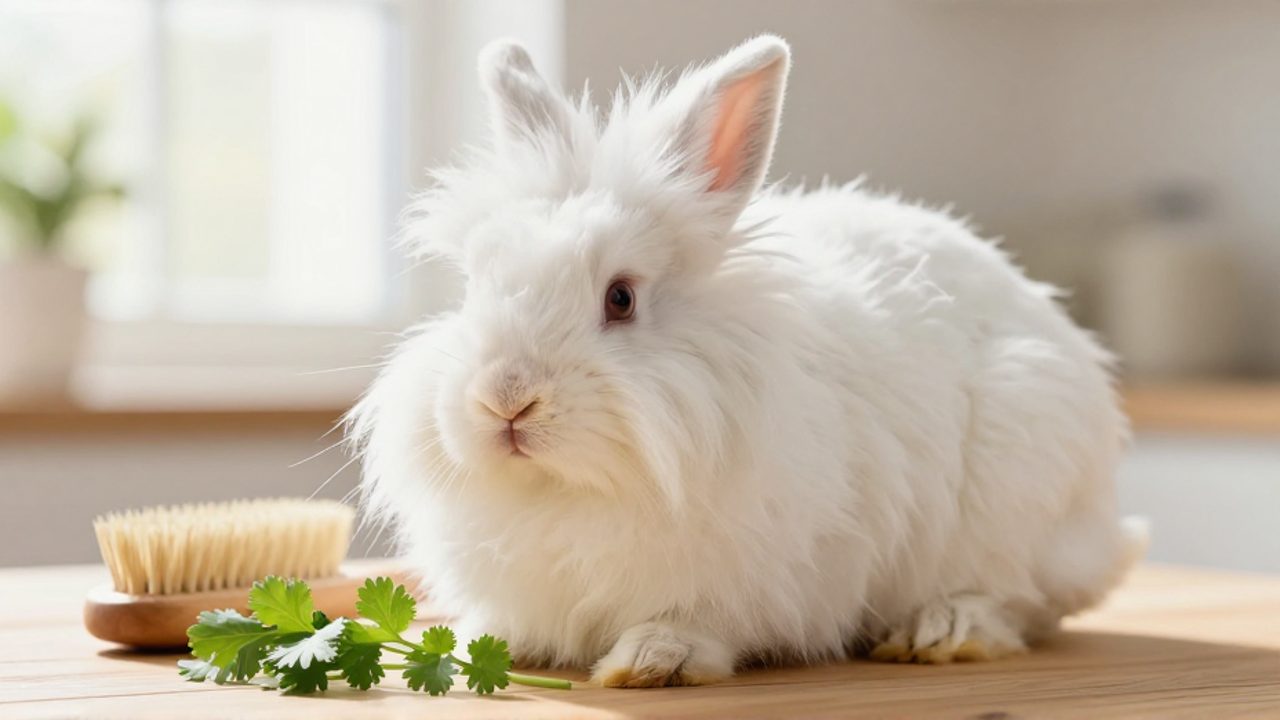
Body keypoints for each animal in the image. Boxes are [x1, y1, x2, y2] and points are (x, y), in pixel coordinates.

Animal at [348, 34, 1149, 688]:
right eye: (473, 285)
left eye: (620, 298)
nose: (505, 399)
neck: (570, 491)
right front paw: (478, 650)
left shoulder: (753, 582)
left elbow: (695, 625)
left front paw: (651, 663)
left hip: (1020, 485)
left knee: (1013, 601)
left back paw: (940, 633)